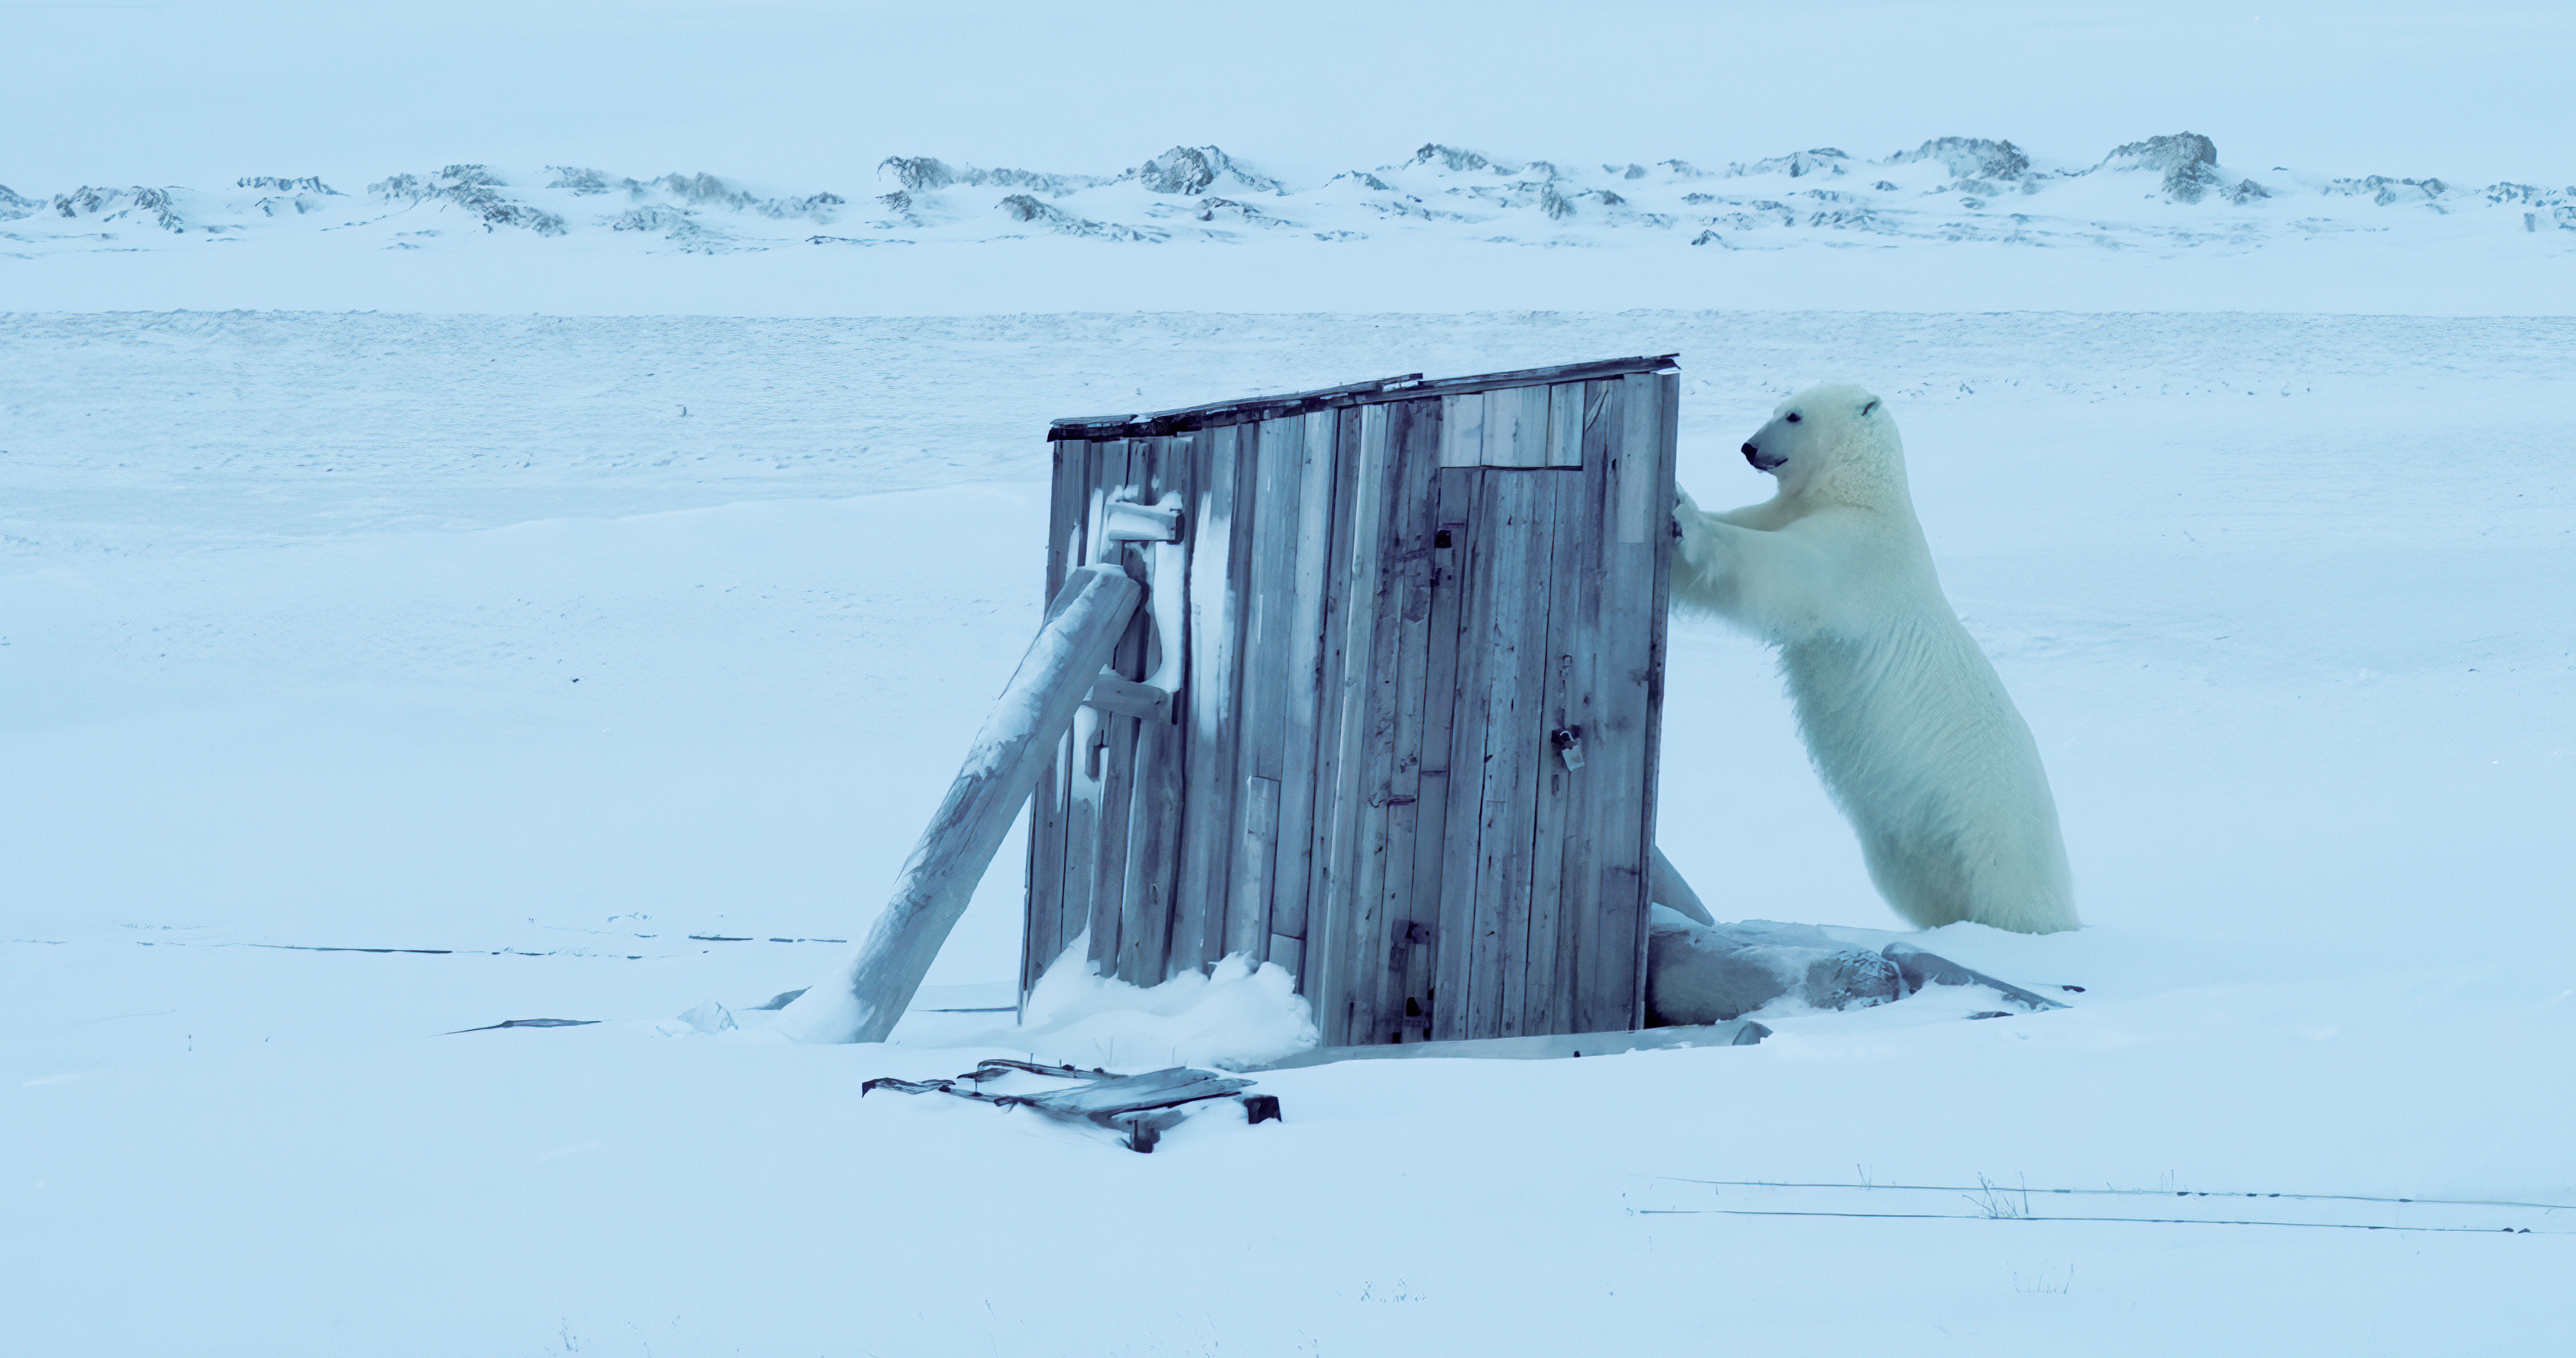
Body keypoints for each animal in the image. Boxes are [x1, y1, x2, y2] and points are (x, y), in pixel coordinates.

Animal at [1669, 383, 2077, 935]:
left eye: (1794, 415)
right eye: (1777, 409)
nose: (1749, 447)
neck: (1863, 495)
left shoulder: (1856, 556)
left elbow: (1780, 571)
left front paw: (1688, 517)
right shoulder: (1790, 515)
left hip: (1996, 829)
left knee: (2011, 896)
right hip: (1911, 846)